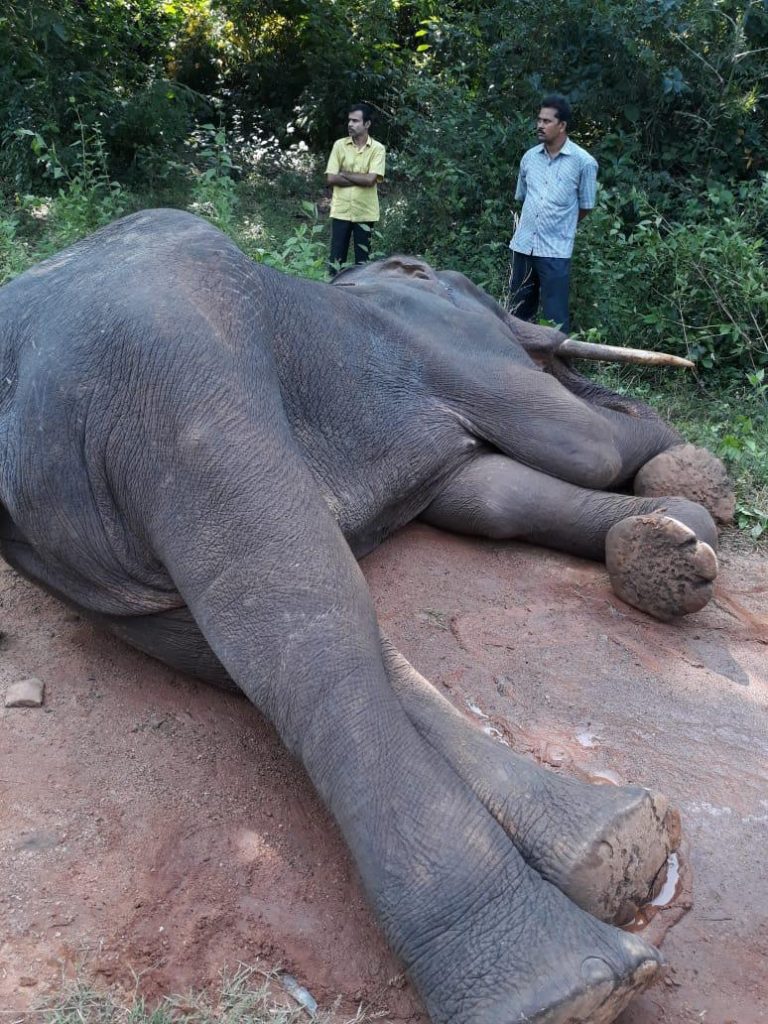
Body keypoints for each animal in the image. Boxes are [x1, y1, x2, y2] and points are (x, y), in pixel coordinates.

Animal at [0, 209, 734, 1024]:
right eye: (482, 293)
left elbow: (488, 494)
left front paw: (669, 539)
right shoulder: (452, 347)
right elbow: (583, 447)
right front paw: (694, 488)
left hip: (71, 547)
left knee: (225, 643)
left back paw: (611, 852)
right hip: (172, 378)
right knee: (307, 613)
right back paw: (568, 980)